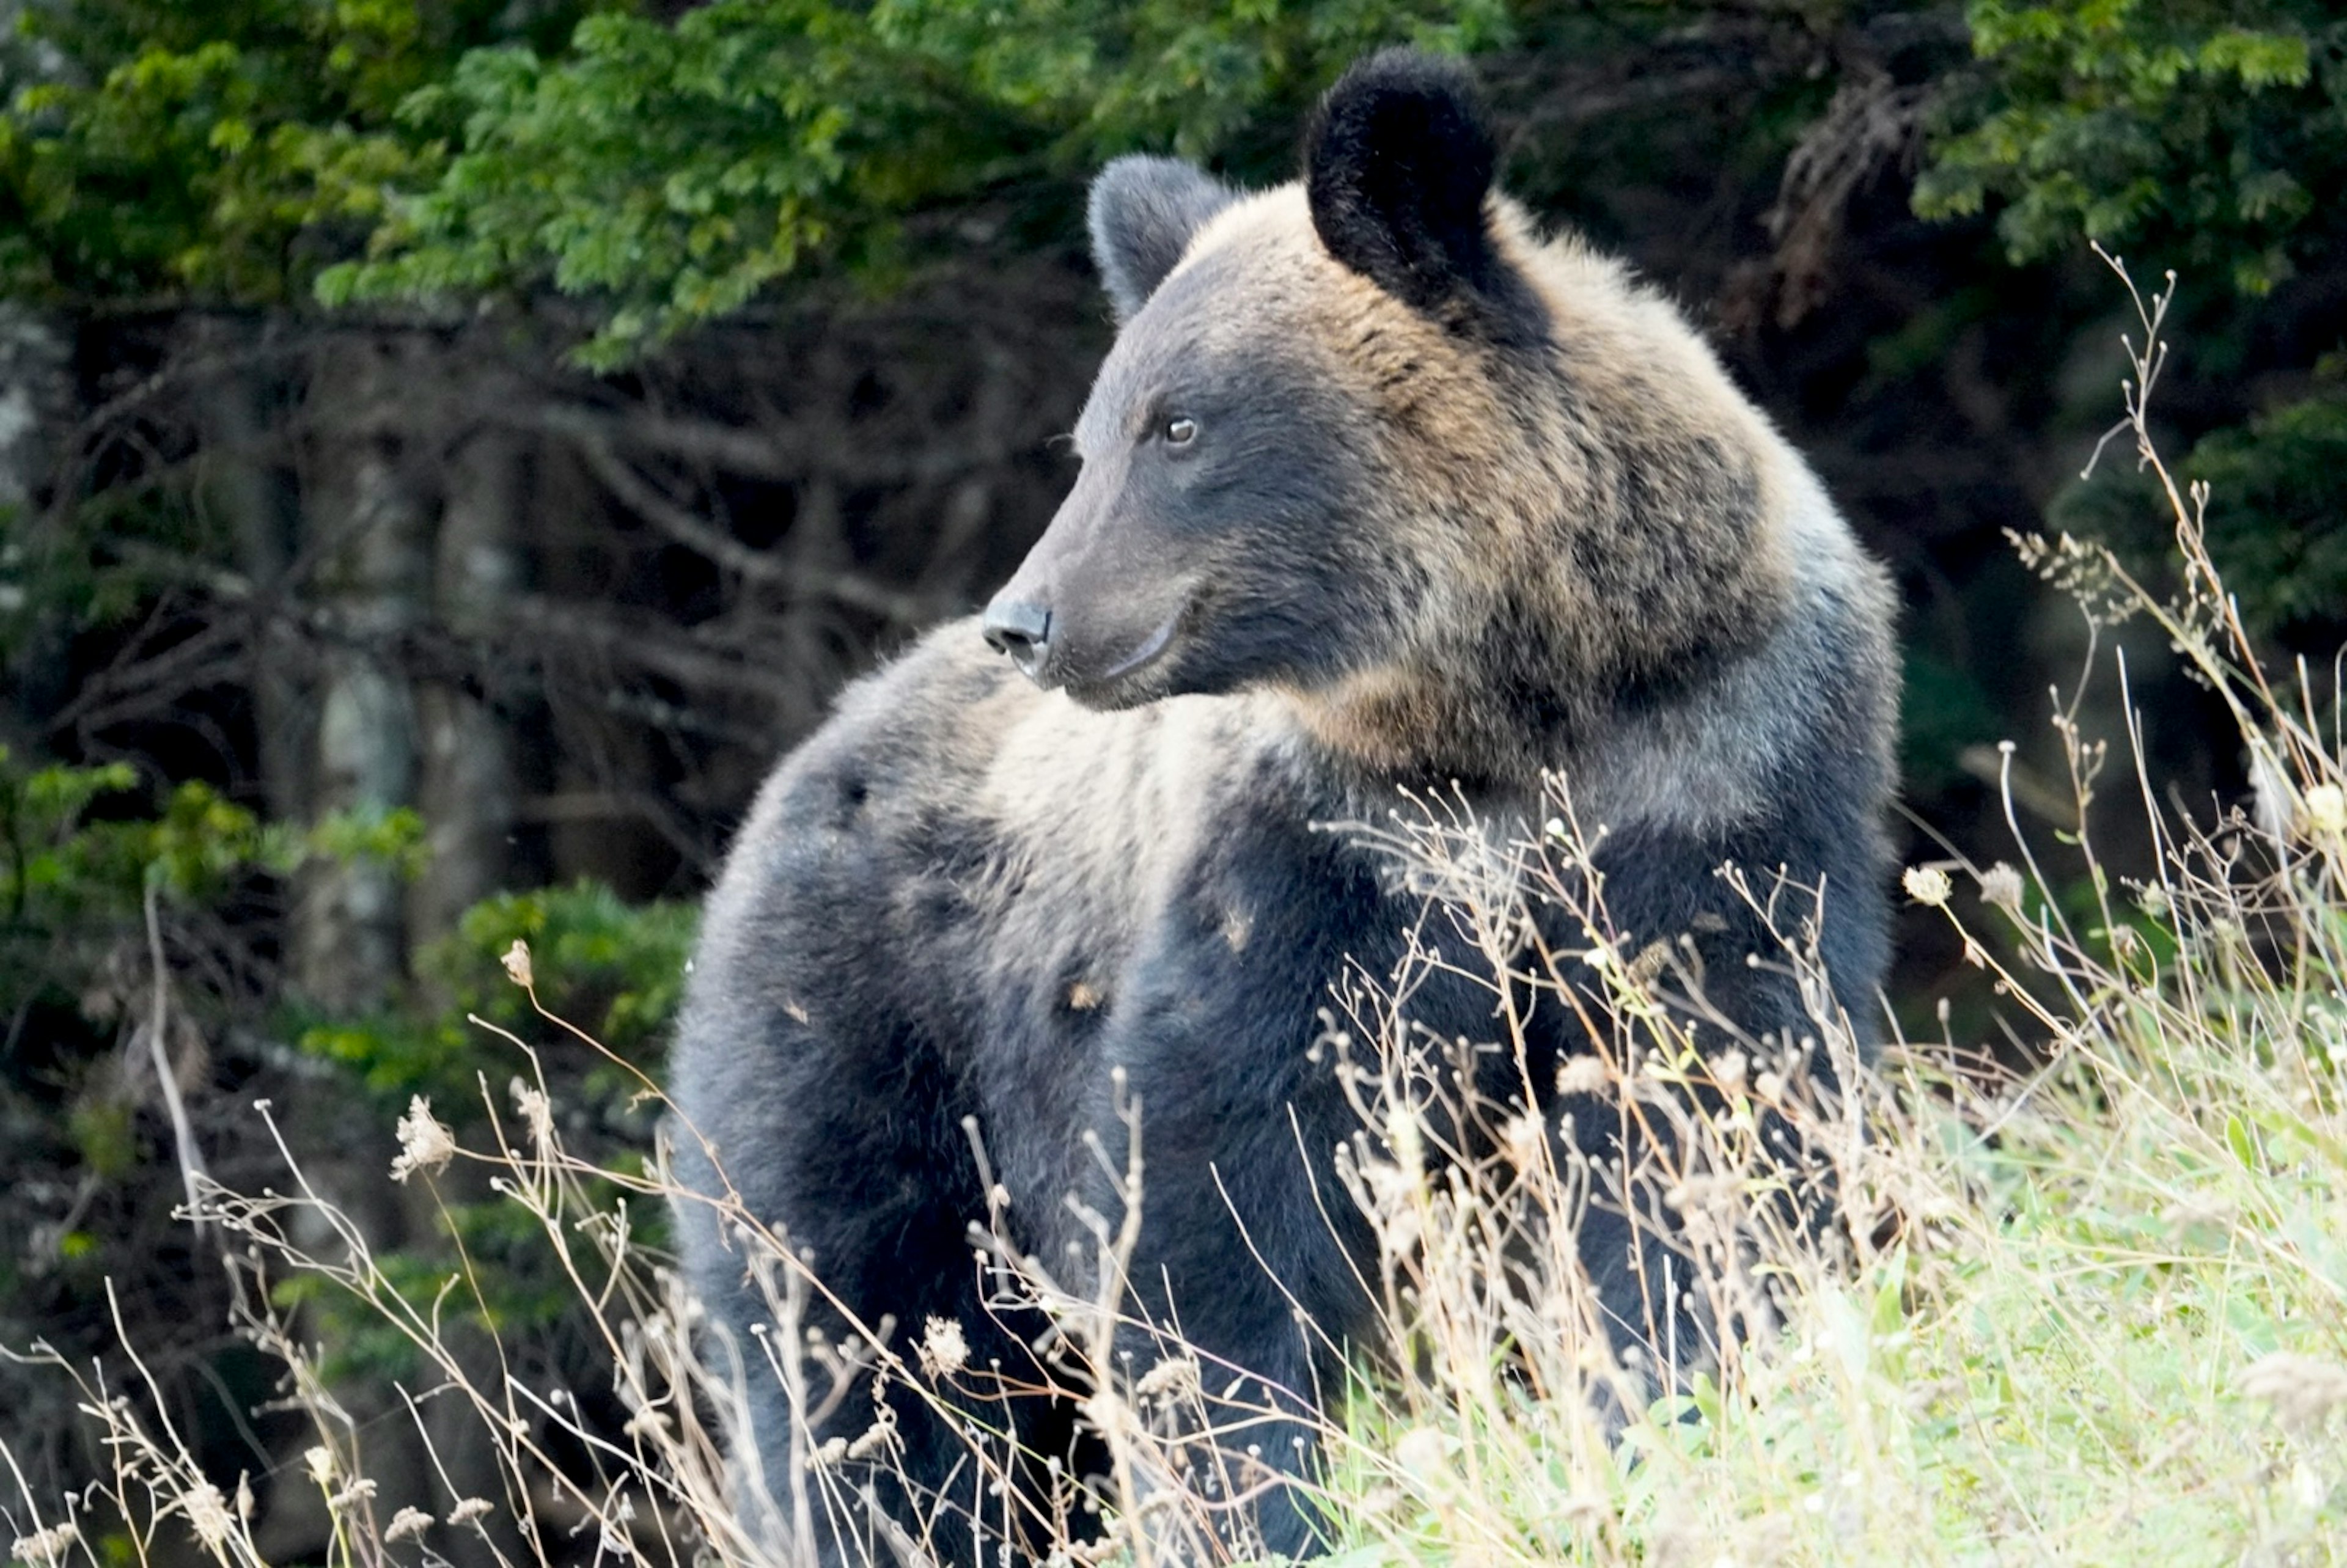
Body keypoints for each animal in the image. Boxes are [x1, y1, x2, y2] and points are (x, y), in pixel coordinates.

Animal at [671, 49, 1896, 1568]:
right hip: (860, 1040)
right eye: (1094, 433)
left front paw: (1669, 1382)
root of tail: (795, 773)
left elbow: (1706, 1091)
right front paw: (1253, 1489)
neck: (1517, 695)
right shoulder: (1319, 850)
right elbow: (1217, 1173)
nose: (1030, 617)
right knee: (854, 1346)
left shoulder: (1717, 764)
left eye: (1177, 423)